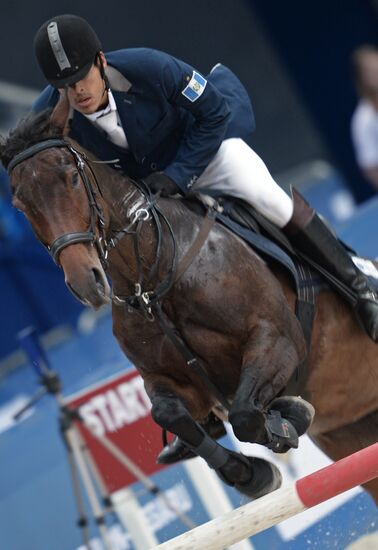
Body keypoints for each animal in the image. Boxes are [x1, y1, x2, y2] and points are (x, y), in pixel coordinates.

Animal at [1, 97, 376, 506]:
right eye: (19, 204)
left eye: (70, 177)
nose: (86, 282)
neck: (153, 278)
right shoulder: (175, 382)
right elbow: (171, 414)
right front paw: (251, 473)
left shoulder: (278, 340)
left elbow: (246, 415)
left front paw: (288, 418)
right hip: (349, 430)